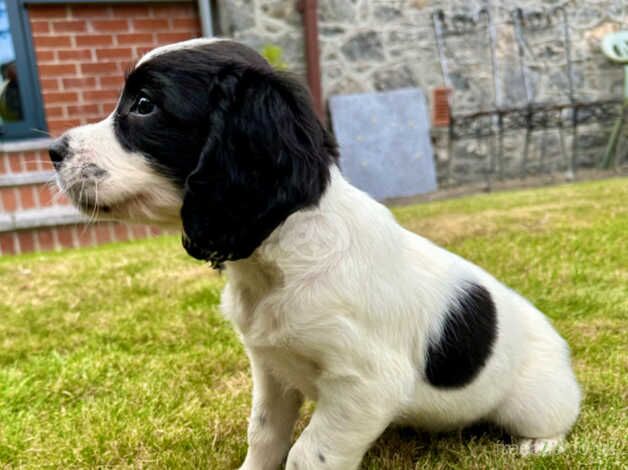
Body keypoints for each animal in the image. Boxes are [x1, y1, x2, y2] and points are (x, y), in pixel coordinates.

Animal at [49, 38, 580, 468]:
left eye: (143, 106)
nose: (54, 150)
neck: (282, 255)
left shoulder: (365, 383)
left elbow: (309, 453)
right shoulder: (269, 369)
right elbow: (264, 434)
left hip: (534, 399)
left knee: (558, 417)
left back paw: (539, 444)